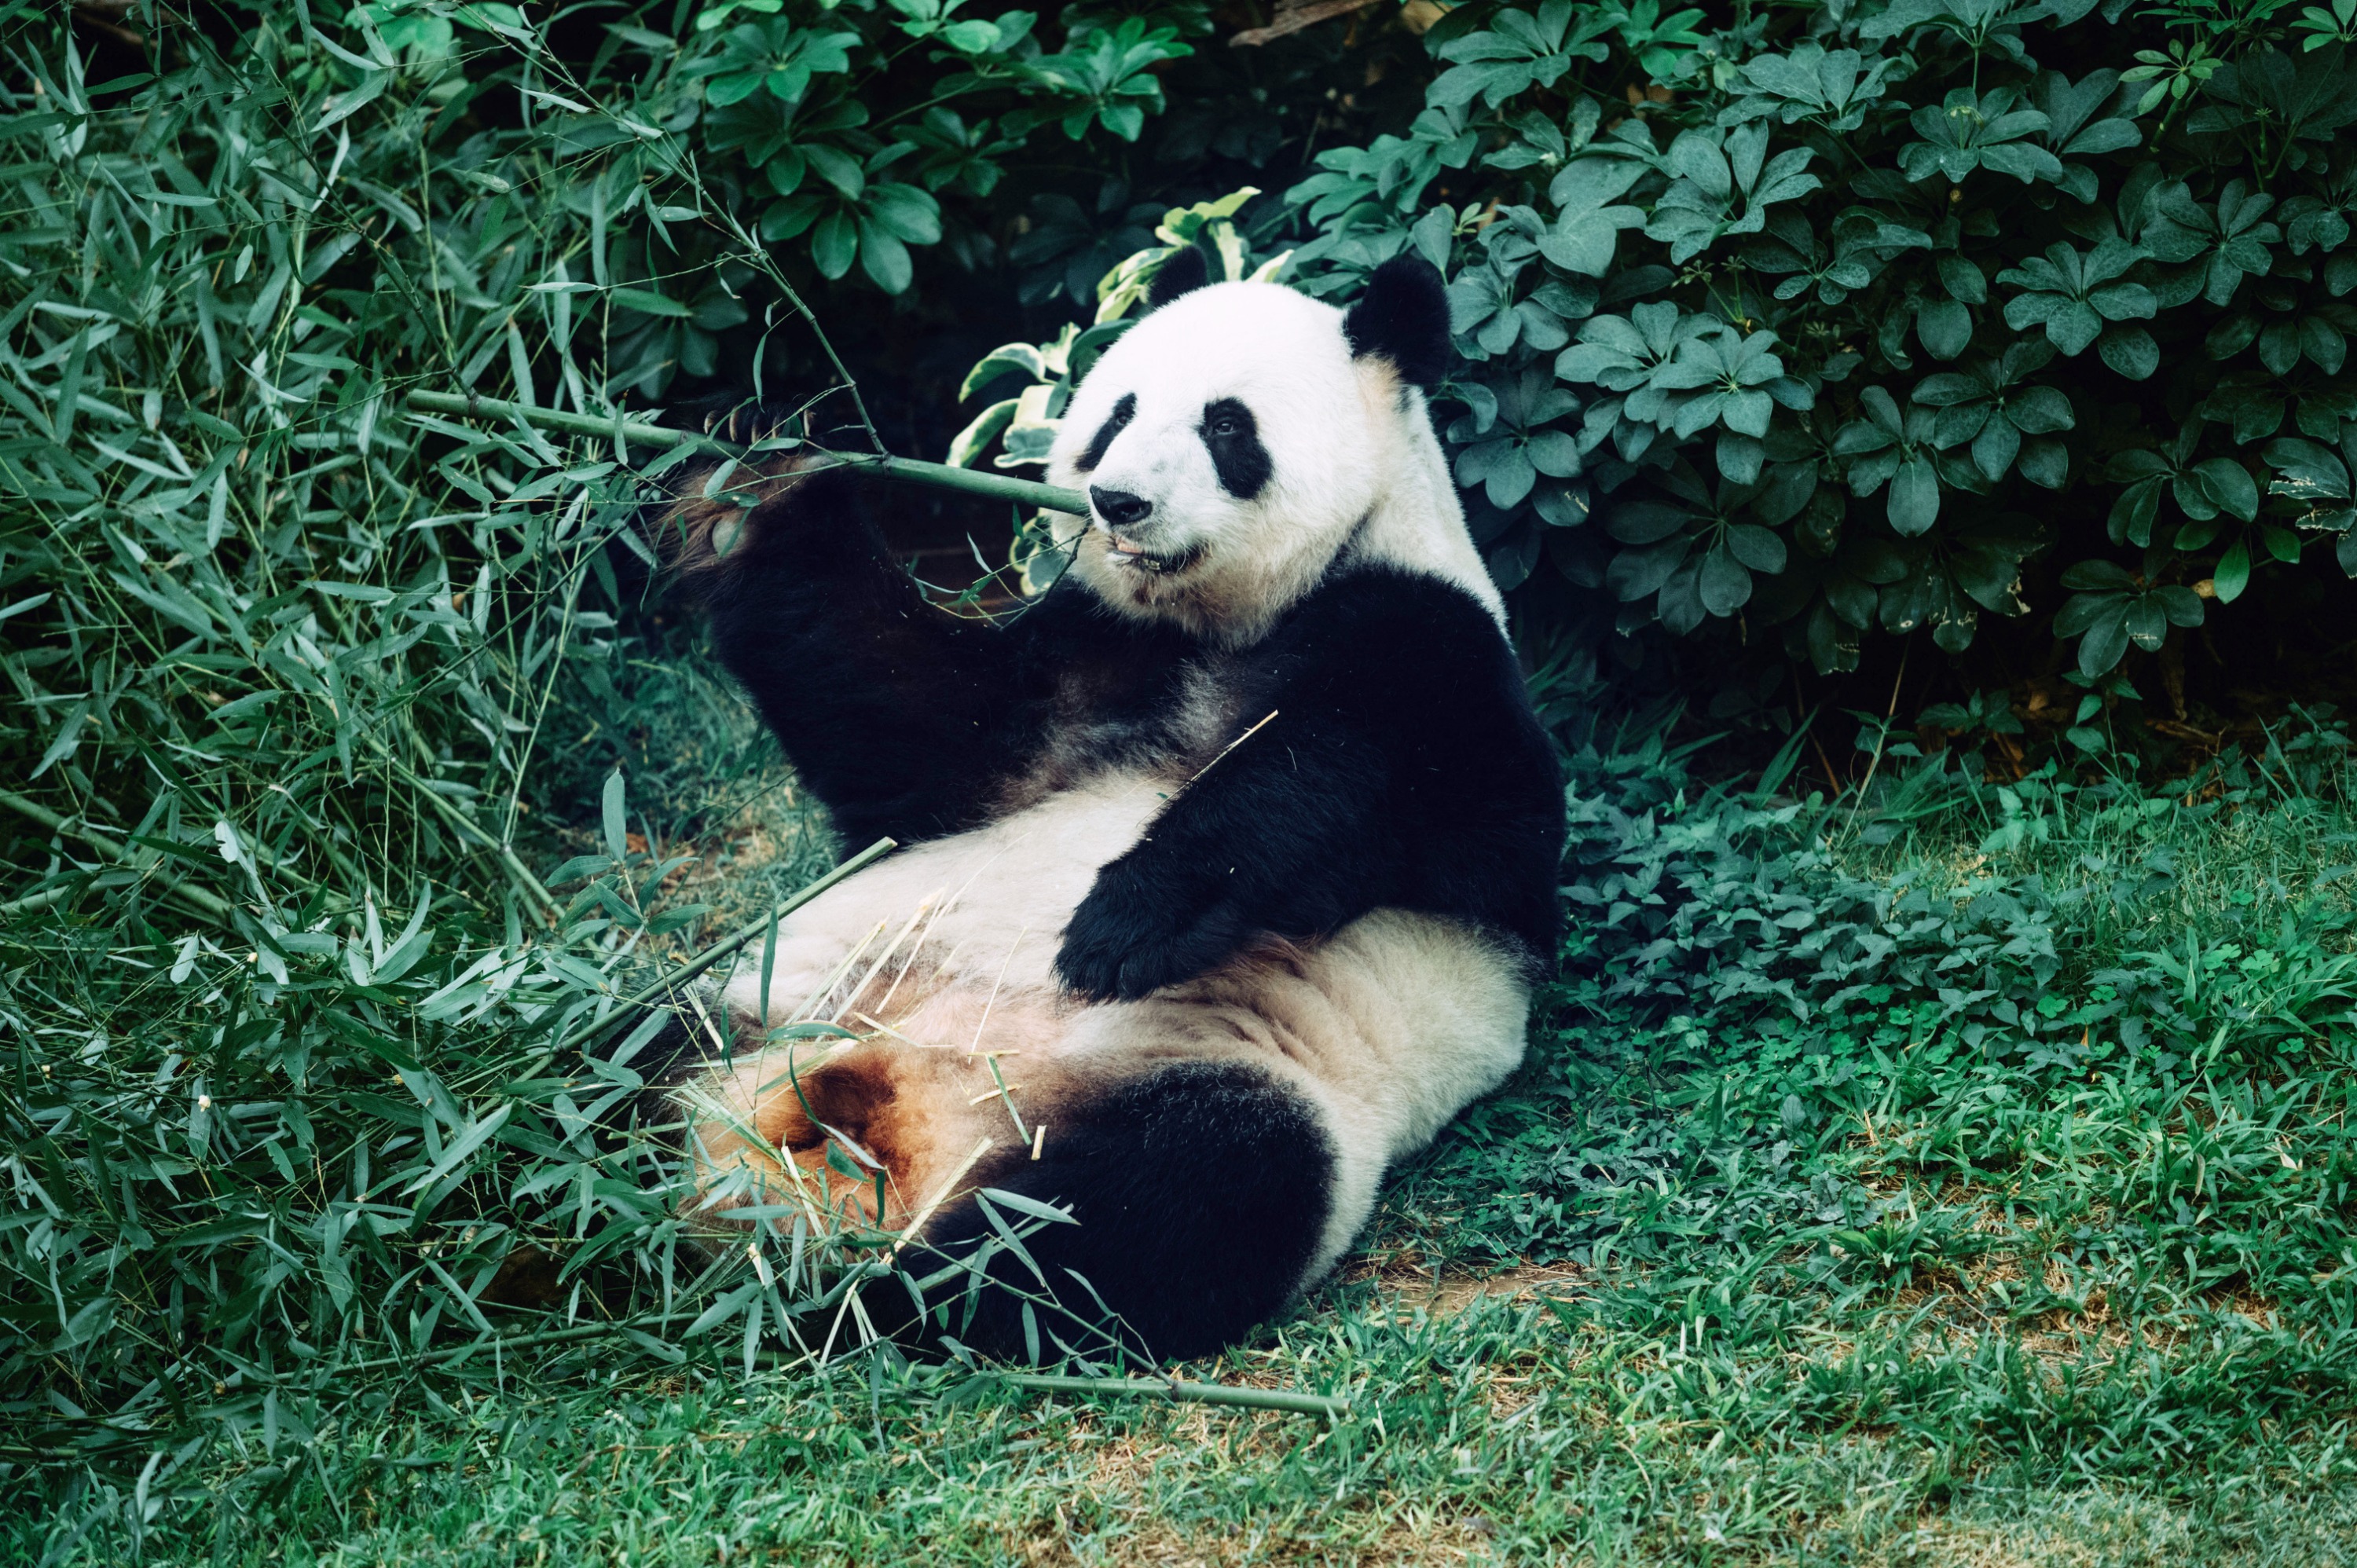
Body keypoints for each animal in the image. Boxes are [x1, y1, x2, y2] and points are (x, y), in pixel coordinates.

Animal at [636, 247, 1574, 1357]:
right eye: (1117, 415)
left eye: (1227, 426)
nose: (1118, 501)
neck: (1219, 623)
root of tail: (891, 1126)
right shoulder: (1083, 658)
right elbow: (907, 735)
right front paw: (759, 476)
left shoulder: (1436, 646)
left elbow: (1358, 778)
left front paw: (1119, 927)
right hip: (772, 988)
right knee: (613, 1056)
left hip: (1228, 1075)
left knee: (1143, 1205)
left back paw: (858, 1298)